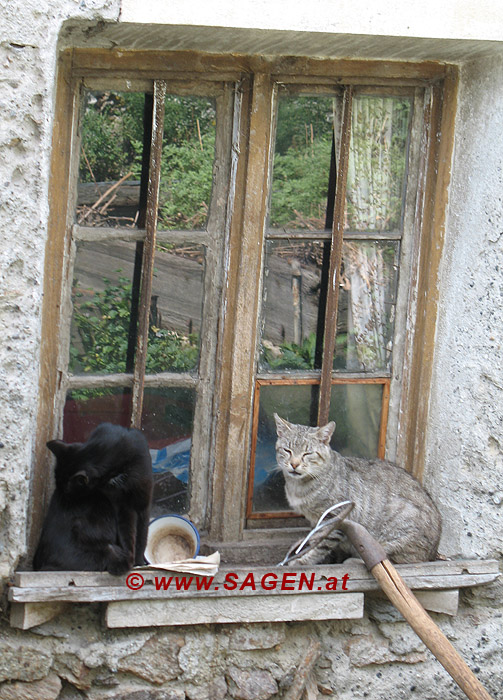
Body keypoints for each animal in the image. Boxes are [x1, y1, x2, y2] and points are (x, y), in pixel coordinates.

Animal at [33, 422, 154, 576]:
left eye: (66, 489)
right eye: (57, 483)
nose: (62, 495)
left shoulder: (141, 501)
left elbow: (141, 534)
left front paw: (139, 562)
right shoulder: (120, 505)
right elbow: (128, 533)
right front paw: (132, 560)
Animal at [274, 412, 442, 568]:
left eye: (307, 453)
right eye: (287, 450)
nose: (294, 464)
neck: (298, 486)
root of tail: (433, 552)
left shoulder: (335, 517)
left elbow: (321, 544)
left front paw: (304, 560)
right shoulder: (316, 520)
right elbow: (315, 538)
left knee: (396, 559)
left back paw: (355, 560)